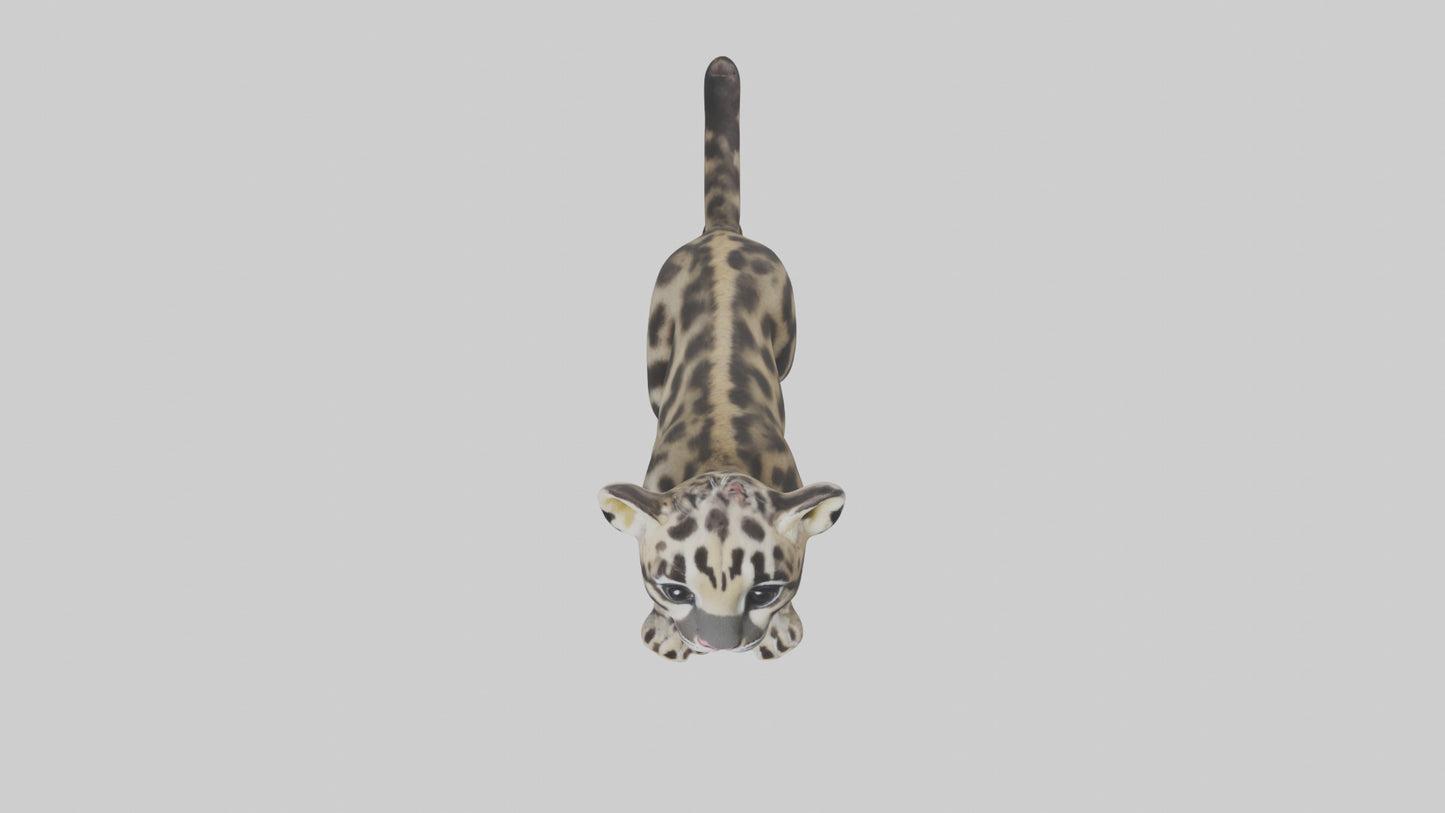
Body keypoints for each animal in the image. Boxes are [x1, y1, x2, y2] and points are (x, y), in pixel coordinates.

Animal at [597, 56, 845, 661]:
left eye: (765, 590)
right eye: (674, 588)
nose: (719, 645)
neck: (721, 455)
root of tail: (722, 233)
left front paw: (783, 630)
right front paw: (664, 634)